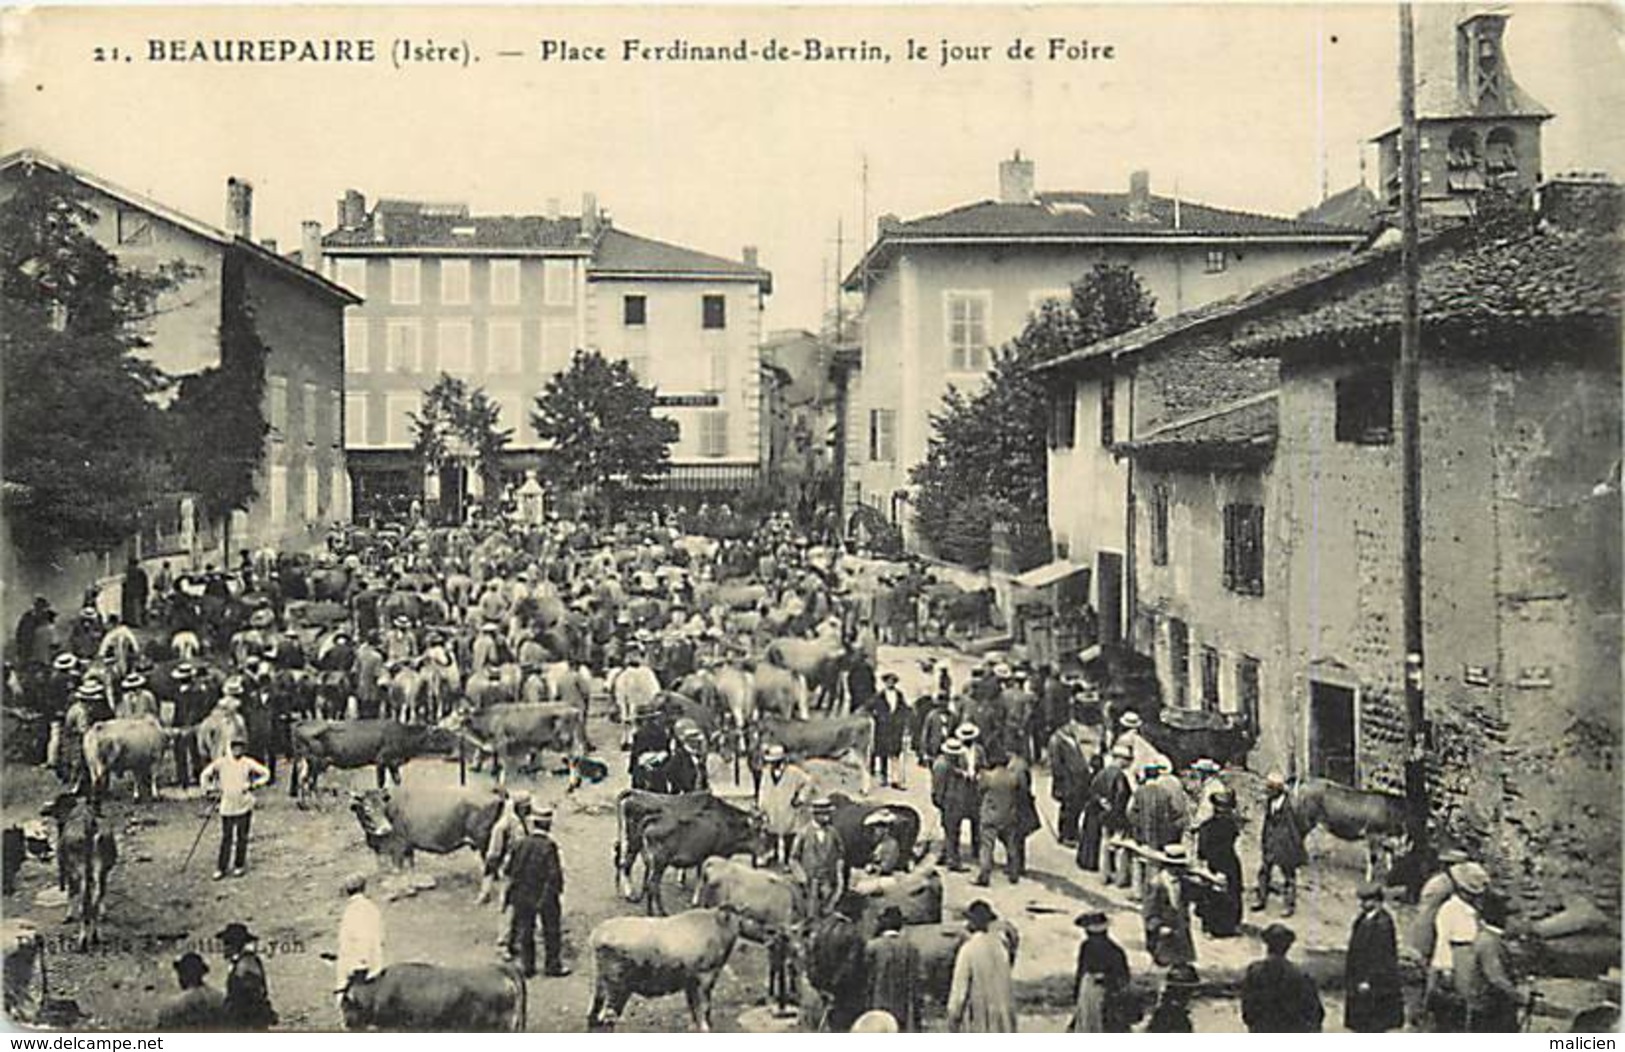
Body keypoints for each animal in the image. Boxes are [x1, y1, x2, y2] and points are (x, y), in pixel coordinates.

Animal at [351, 790, 503, 871]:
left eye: (384, 806)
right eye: (367, 808)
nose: (386, 828)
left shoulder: (398, 846)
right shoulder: (407, 846)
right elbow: (411, 865)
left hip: (485, 842)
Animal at [591, 910, 744, 1034]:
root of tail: (596, 936)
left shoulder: (690, 983)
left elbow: (693, 1006)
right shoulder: (704, 977)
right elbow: (704, 1007)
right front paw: (705, 1028)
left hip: (601, 983)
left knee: (593, 1015)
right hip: (616, 985)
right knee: (606, 1018)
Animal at [614, 790, 767, 910]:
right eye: (762, 831)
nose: (763, 856)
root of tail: (633, 793)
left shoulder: (701, 854)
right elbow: (703, 877)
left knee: (626, 864)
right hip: (636, 843)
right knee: (627, 865)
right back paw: (632, 895)